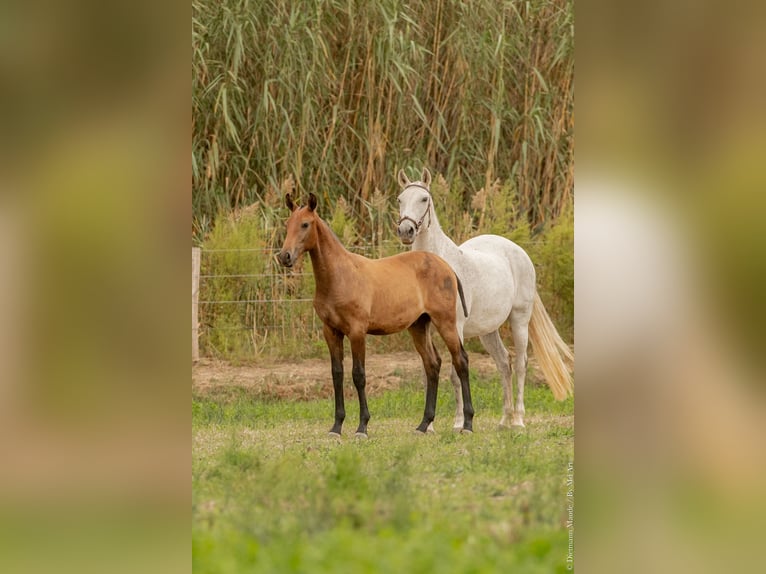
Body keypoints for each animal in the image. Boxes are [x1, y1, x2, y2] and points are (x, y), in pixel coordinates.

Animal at [280, 194, 474, 436]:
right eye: (287, 224)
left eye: (305, 224)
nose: (284, 256)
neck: (340, 276)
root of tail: (447, 267)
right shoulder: (331, 332)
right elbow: (337, 374)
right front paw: (336, 427)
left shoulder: (357, 332)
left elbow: (358, 375)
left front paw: (362, 426)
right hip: (419, 326)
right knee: (432, 364)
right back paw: (423, 424)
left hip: (445, 322)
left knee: (461, 361)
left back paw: (467, 424)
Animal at [400, 166, 572, 428]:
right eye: (400, 199)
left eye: (424, 199)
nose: (406, 231)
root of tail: (519, 251)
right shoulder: (427, 328)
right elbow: (429, 368)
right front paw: (430, 426)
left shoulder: (456, 328)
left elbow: (455, 372)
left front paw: (458, 423)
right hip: (488, 331)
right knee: (504, 363)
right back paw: (504, 420)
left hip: (519, 320)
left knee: (520, 364)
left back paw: (518, 420)